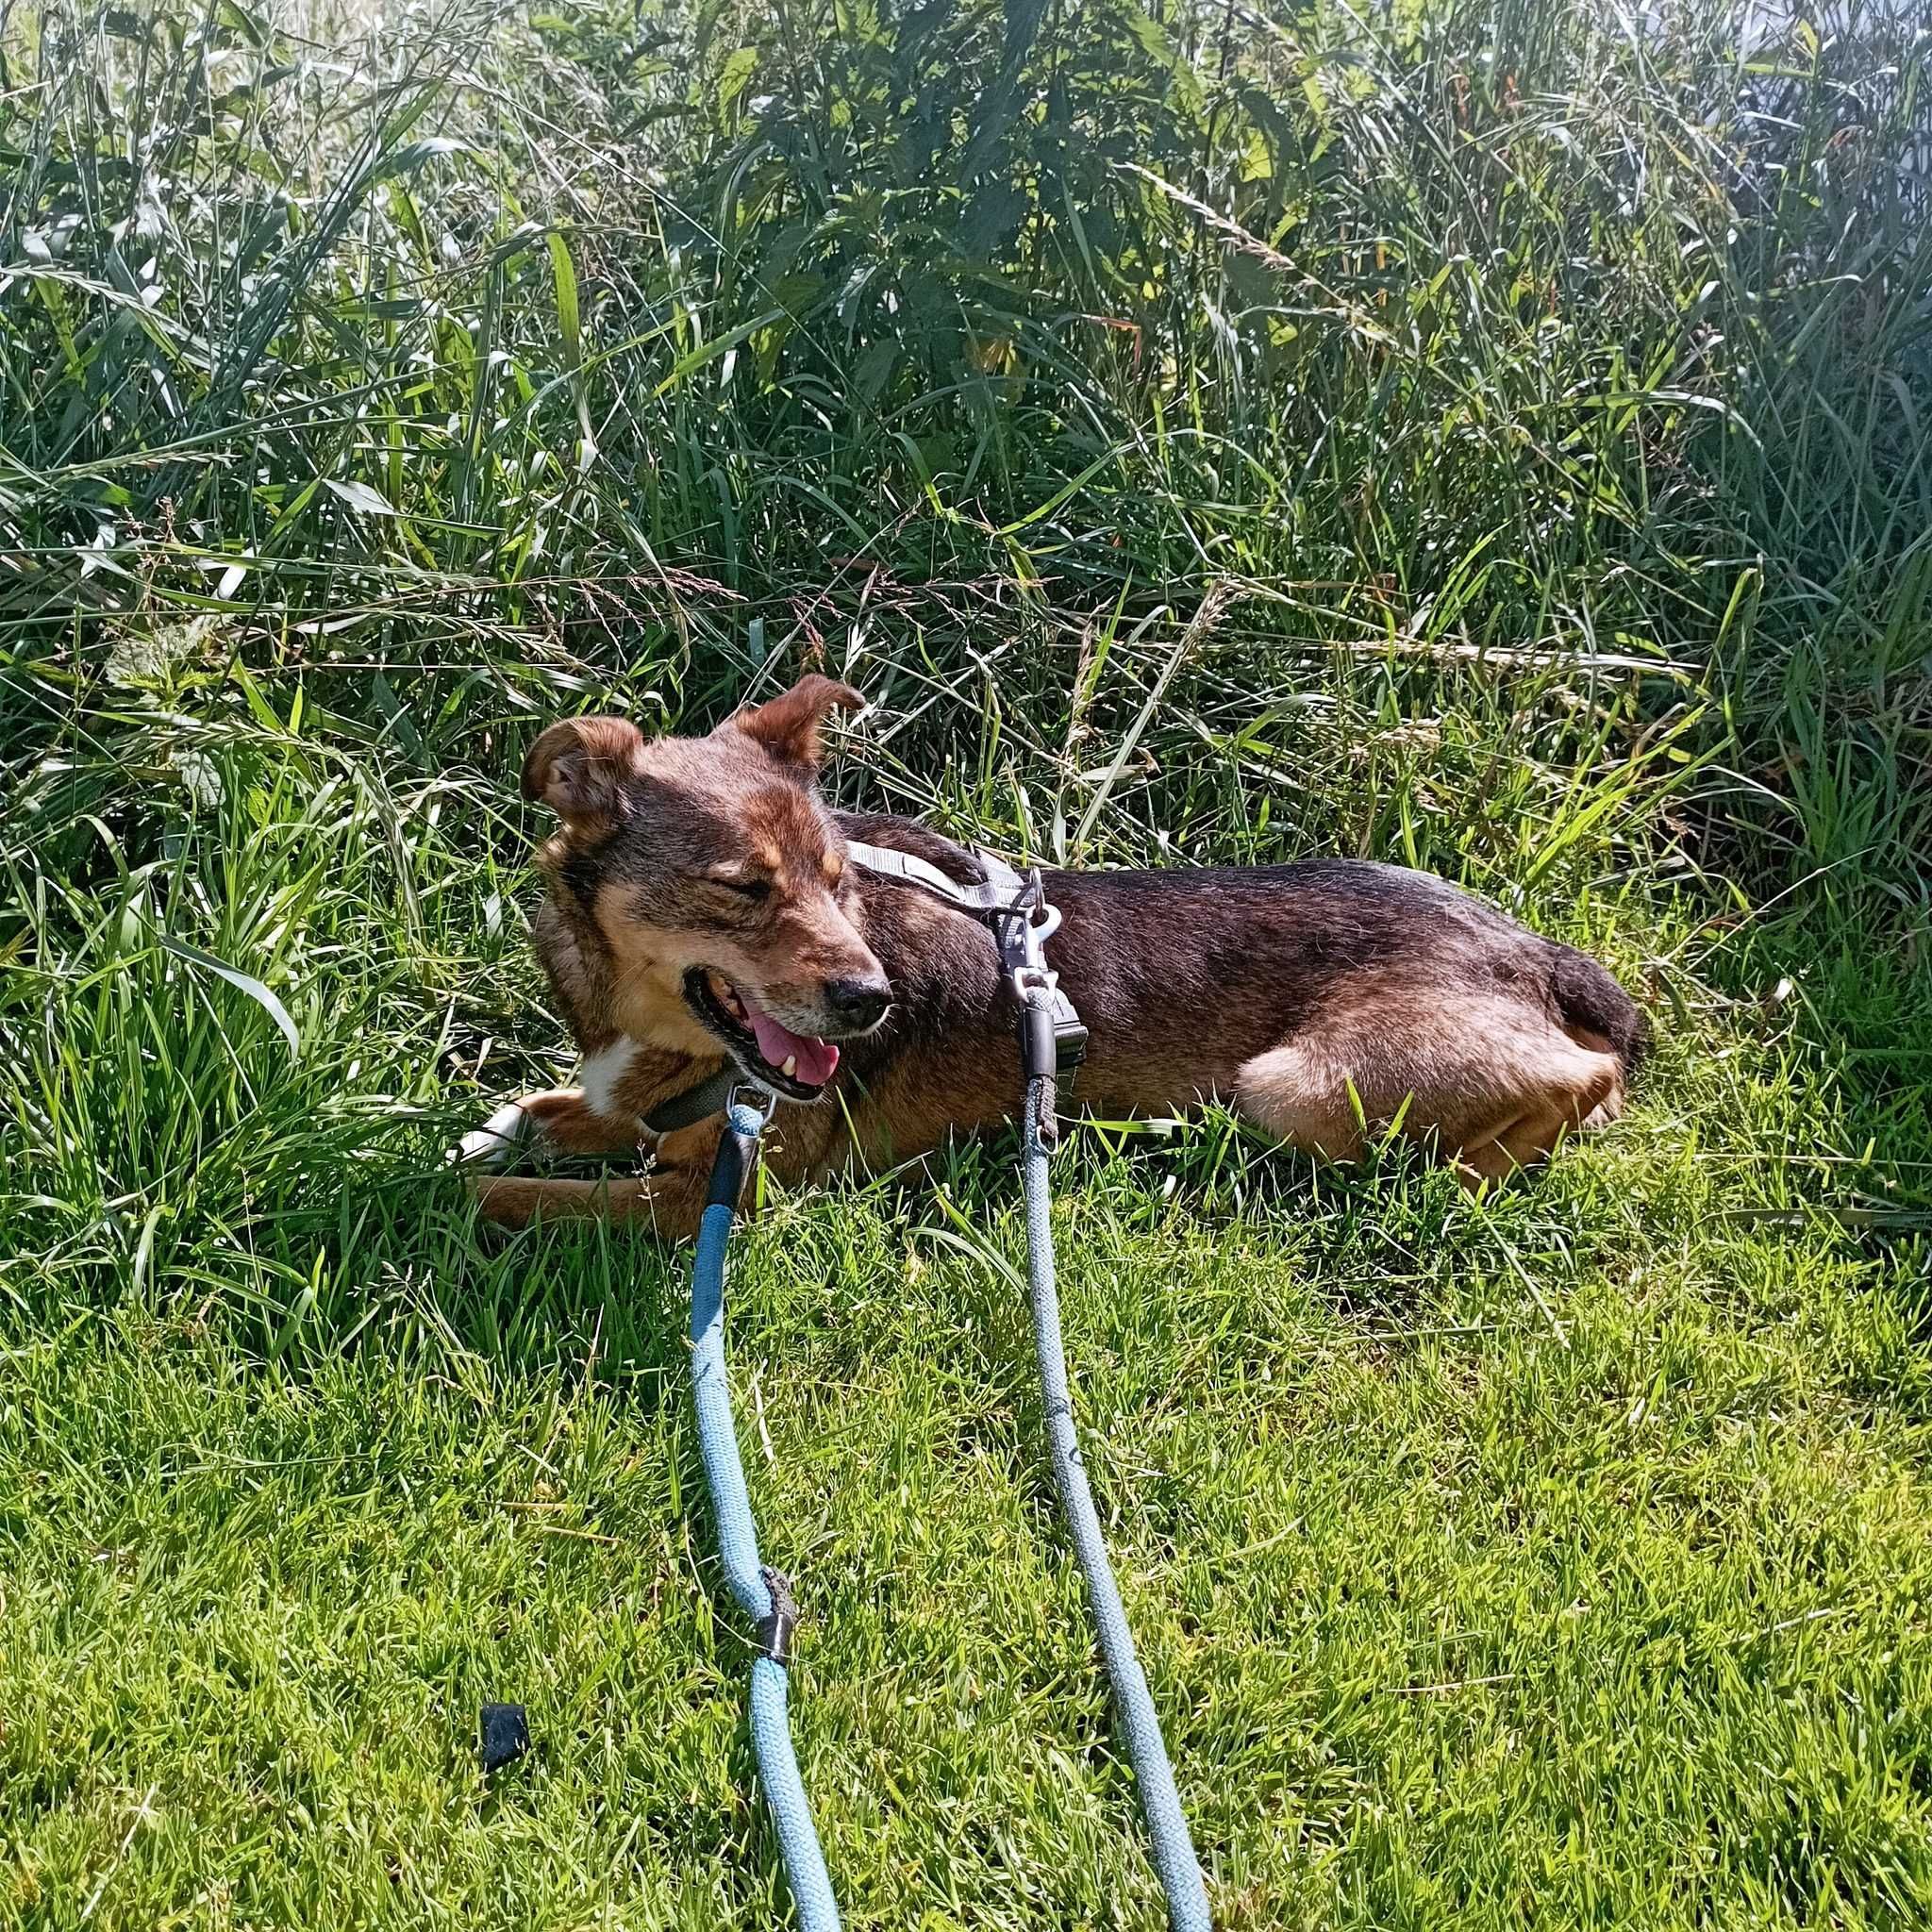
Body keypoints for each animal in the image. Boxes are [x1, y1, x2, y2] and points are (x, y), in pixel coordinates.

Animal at [459, 672, 1638, 1228]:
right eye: (745, 888)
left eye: (836, 881)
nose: (873, 1001)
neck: (656, 1032)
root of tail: (1532, 945)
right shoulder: (623, 1109)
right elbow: (524, 1117)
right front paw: (471, 1135)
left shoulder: (713, 1199)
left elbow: (500, 1198)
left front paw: (425, 1212)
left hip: (1294, 1084)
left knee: (1584, 1076)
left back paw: (1475, 1168)